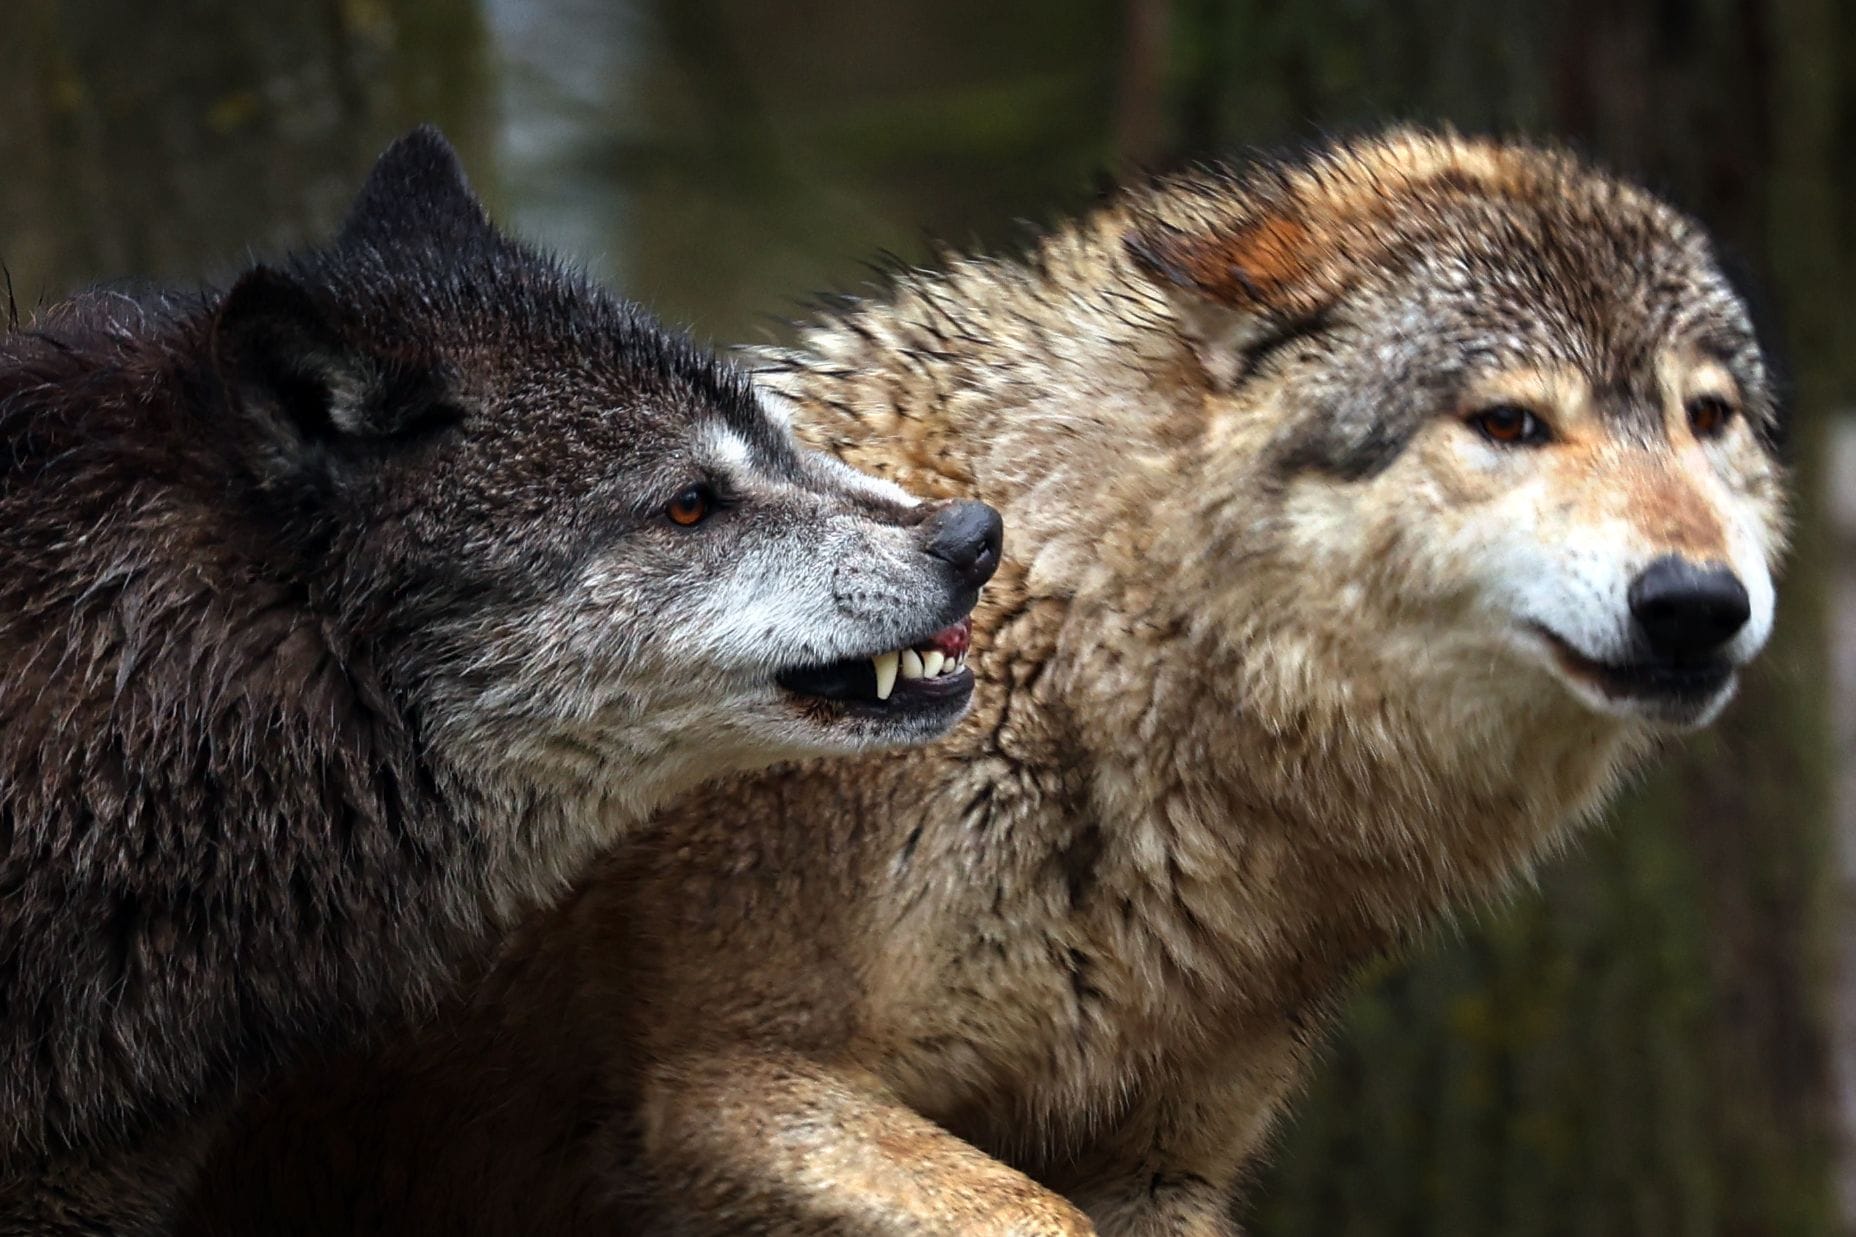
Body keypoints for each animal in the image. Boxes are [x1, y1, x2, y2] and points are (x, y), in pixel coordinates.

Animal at [184, 130, 1781, 1225]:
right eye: (1507, 422)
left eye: (1705, 418)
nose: (1698, 604)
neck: (1083, 638)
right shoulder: (735, 1086)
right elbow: (1024, 1210)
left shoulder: (1163, 1165)